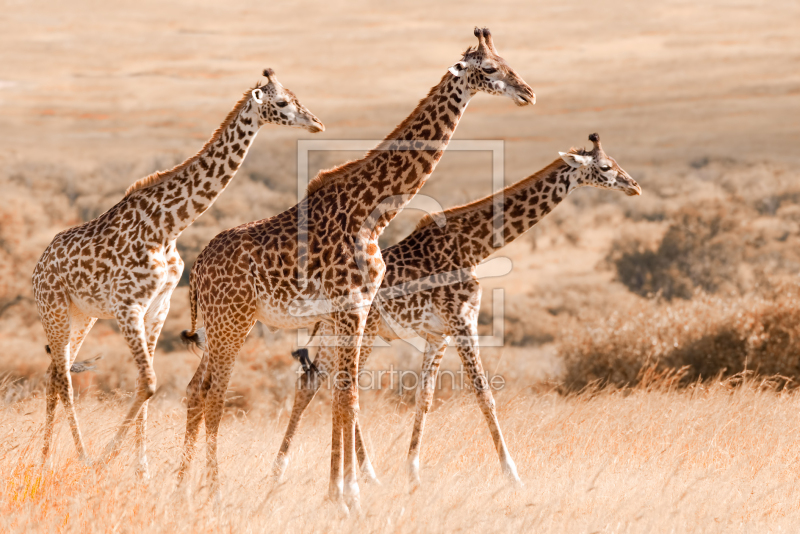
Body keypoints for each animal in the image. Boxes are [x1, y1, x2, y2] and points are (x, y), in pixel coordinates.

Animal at [30, 68, 324, 478]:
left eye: (296, 97)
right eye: (281, 102)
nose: (316, 123)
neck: (168, 226)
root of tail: (38, 267)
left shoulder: (160, 305)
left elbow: (146, 382)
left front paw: (142, 470)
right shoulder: (128, 305)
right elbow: (150, 382)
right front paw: (107, 459)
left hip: (81, 314)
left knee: (54, 372)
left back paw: (46, 458)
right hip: (53, 308)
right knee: (63, 377)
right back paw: (76, 456)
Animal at [178, 27, 536, 512]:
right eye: (492, 68)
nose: (528, 93)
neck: (371, 212)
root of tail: (197, 272)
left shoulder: (360, 308)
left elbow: (346, 397)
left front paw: (345, 493)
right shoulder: (349, 307)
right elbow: (346, 396)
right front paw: (347, 497)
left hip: (224, 323)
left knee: (196, 389)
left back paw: (180, 486)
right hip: (232, 321)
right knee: (213, 394)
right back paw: (211, 492)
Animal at [272, 135, 640, 490]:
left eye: (616, 161)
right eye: (605, 167)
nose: (634, 186)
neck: (475, 247)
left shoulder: (439, 334)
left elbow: (424, 397)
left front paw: (413, 474)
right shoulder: (464, 321)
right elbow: (484, 395)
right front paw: (512, 475)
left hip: (339, 332)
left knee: (313, 381)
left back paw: (286, 469)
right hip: (364, 331)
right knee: (336, 385)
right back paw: (359, 474)